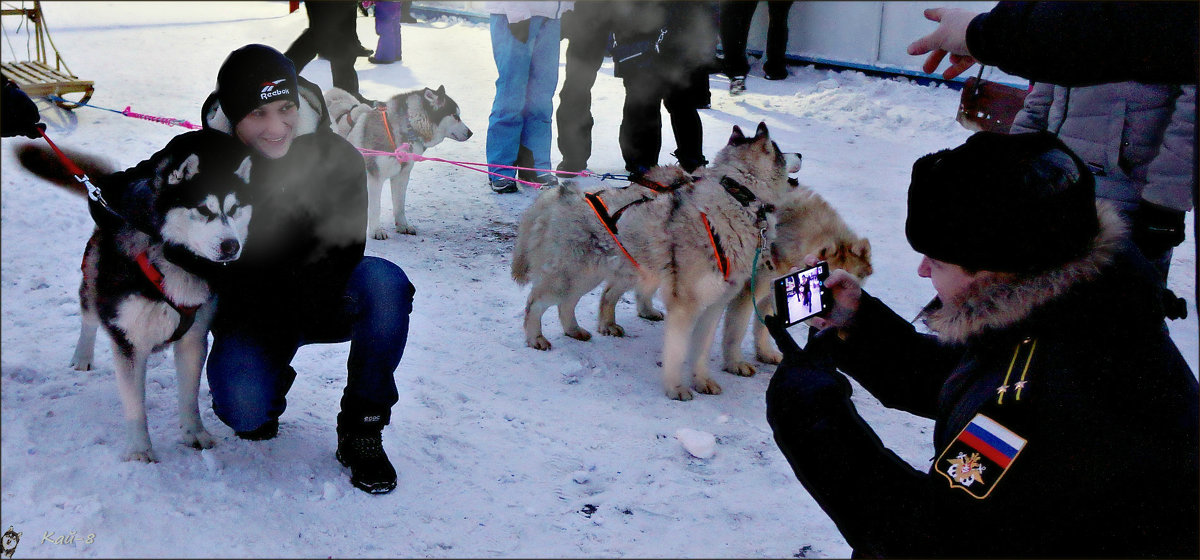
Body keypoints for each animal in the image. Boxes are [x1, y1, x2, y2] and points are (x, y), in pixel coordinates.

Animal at [18, 137, 253, 462]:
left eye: (234, 209)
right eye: (203, 210)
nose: (231, 246)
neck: (174, 259)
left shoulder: (193, 336)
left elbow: (189, 395)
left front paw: (194, 433)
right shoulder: (129, 339)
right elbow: (135, 406)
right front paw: (141, 450)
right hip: (95, 281)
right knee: (88, 316)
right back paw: (82, 356)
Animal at [324, 85, 472, 238]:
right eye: (455, 116)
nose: (470, 133)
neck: (408, 127)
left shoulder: (401, 176)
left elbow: (400, 205)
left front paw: (402, 226)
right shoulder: (374, 178)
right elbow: (375, 208)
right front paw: (376, 231)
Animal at [513, 122, 801, 398]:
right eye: (778, 150)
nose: (799, 154)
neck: (736, 200)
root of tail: (562, 194)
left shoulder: (714, 305)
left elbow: (700, 351)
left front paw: (702, 381)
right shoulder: (685, 305)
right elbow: (677, 352)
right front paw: (676, 388)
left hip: (596, 274)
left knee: (571, 302)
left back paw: (575, 330)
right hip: (571, 275)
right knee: (535, 303)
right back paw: (535, 337)